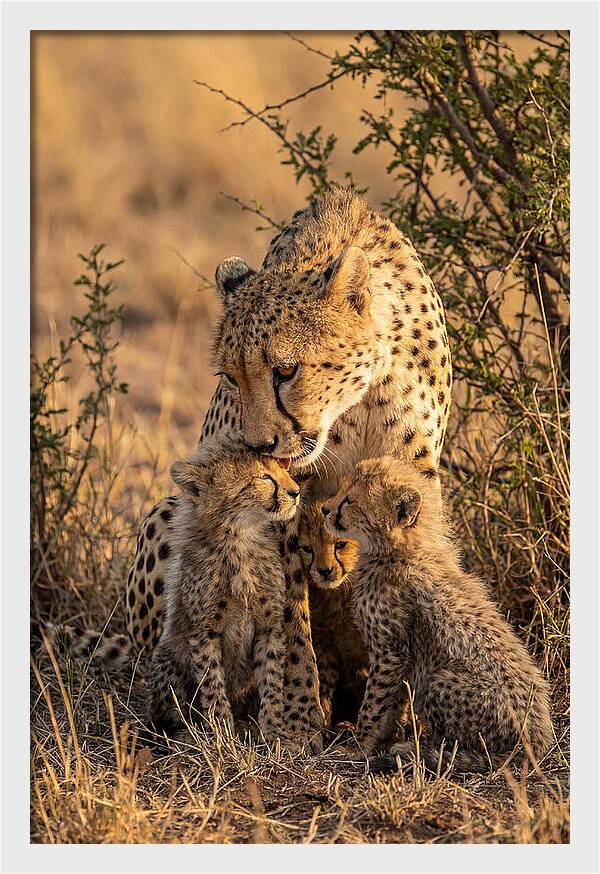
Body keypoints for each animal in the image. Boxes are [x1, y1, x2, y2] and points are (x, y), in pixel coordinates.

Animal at [146, 435, 301, 743]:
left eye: (282, 470)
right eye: (264, 477)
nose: (296, 492)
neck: (240, 539)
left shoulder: (270, 627)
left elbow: (272, 680)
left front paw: (274, 732)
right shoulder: (204, 631)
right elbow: (212, 683)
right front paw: (221, 733)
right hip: (167, 658)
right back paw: (186, 732)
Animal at [322, 456, 554, 773]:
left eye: (350, 501)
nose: (324, 509)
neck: (400, 550)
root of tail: (539, 741)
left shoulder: (391, 653)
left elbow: (374, 704)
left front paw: (359, 746)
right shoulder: (398, 658)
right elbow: (391, 705)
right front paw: (382, 738)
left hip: (438, 680)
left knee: (469, 749)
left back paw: (420, 751)